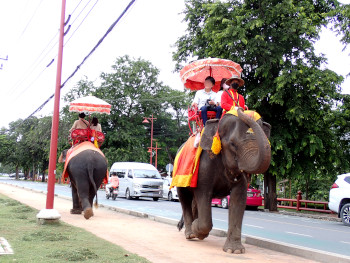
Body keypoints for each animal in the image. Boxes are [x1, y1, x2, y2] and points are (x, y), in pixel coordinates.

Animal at [178, 108, 270, 255]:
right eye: (233, 144)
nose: (240, 108)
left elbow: (239, 197)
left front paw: (235, 251)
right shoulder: (204, 167)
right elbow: (203, 193)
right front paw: (197, 228)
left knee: (193, 201)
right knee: (184, 197)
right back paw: (190, 234)